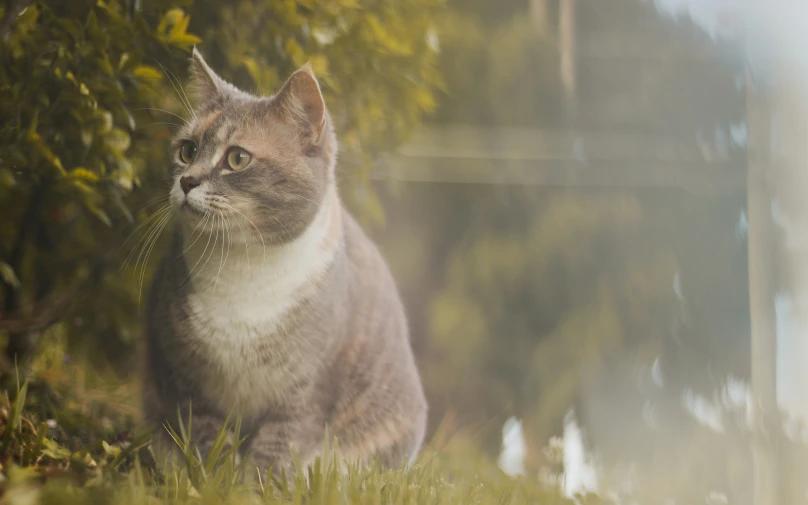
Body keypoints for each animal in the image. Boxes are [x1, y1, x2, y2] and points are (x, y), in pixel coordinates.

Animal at [141, 49, 426, 474]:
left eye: (237, 158)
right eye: (187, 150)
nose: (187, 181)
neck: (241, 268)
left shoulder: (306, 395)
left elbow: (275, 455)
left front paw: (252, 485)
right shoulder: (187, 381)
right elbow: (209, 441)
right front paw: (213, 478)